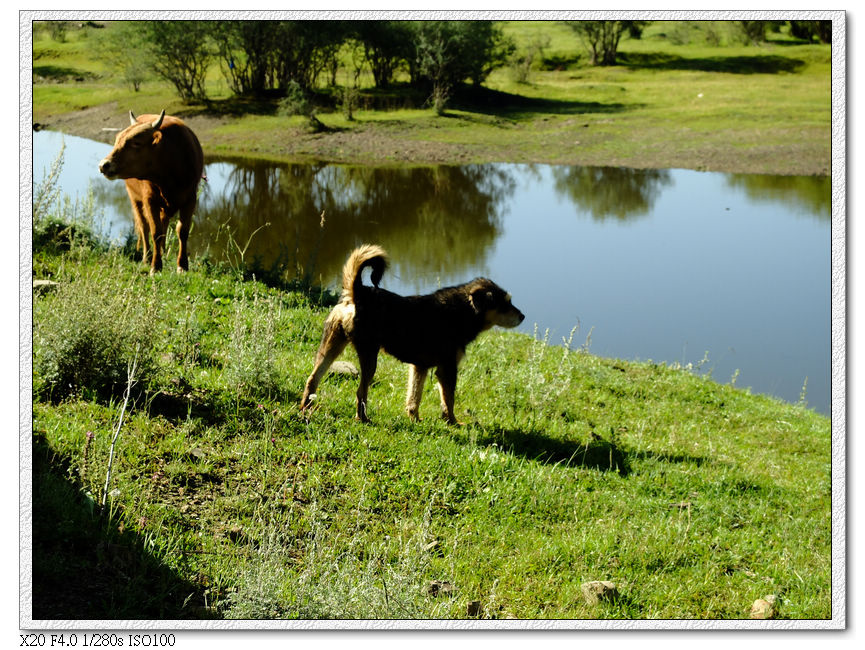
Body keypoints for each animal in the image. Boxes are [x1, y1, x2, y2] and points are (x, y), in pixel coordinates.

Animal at [98, 110, 203, 272]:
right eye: (117, 140)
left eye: (136, 143)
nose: (104, 165)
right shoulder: (149, 200)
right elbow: (155, 232)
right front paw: (156, 265)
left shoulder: (190, 199)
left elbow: (182, 231)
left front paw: (182, 265)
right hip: (135, 198)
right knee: (144, 227)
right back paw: (147, 257)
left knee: (164, 223)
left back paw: (164, 252)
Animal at [300, 243, 524, 420]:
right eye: (505, 305)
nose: (523, 316)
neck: (461, 311)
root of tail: (357, 292)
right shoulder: (447, 369)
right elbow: (448, 400)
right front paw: (452, 422)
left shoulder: (419, 367)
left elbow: (414, 397)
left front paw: (414, 419)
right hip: (369, 355)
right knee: (360, 392)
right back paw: (363, 419)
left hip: (331, 345)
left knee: (312, 379)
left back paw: (306, 408)